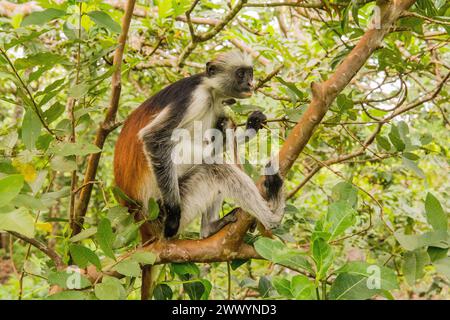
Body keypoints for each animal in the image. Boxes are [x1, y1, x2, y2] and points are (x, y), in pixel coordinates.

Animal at [115, 51, 284, 239]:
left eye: (250, 73)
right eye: (240, 74)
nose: (250, 84)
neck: (209, 88)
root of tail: (136, 214)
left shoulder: (215, 104)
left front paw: (251, 127)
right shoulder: (194, 98)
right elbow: (154, 138)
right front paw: (173, 214)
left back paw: (209, 228)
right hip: (159, 212)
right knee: (215, 167)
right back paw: (273, 218)